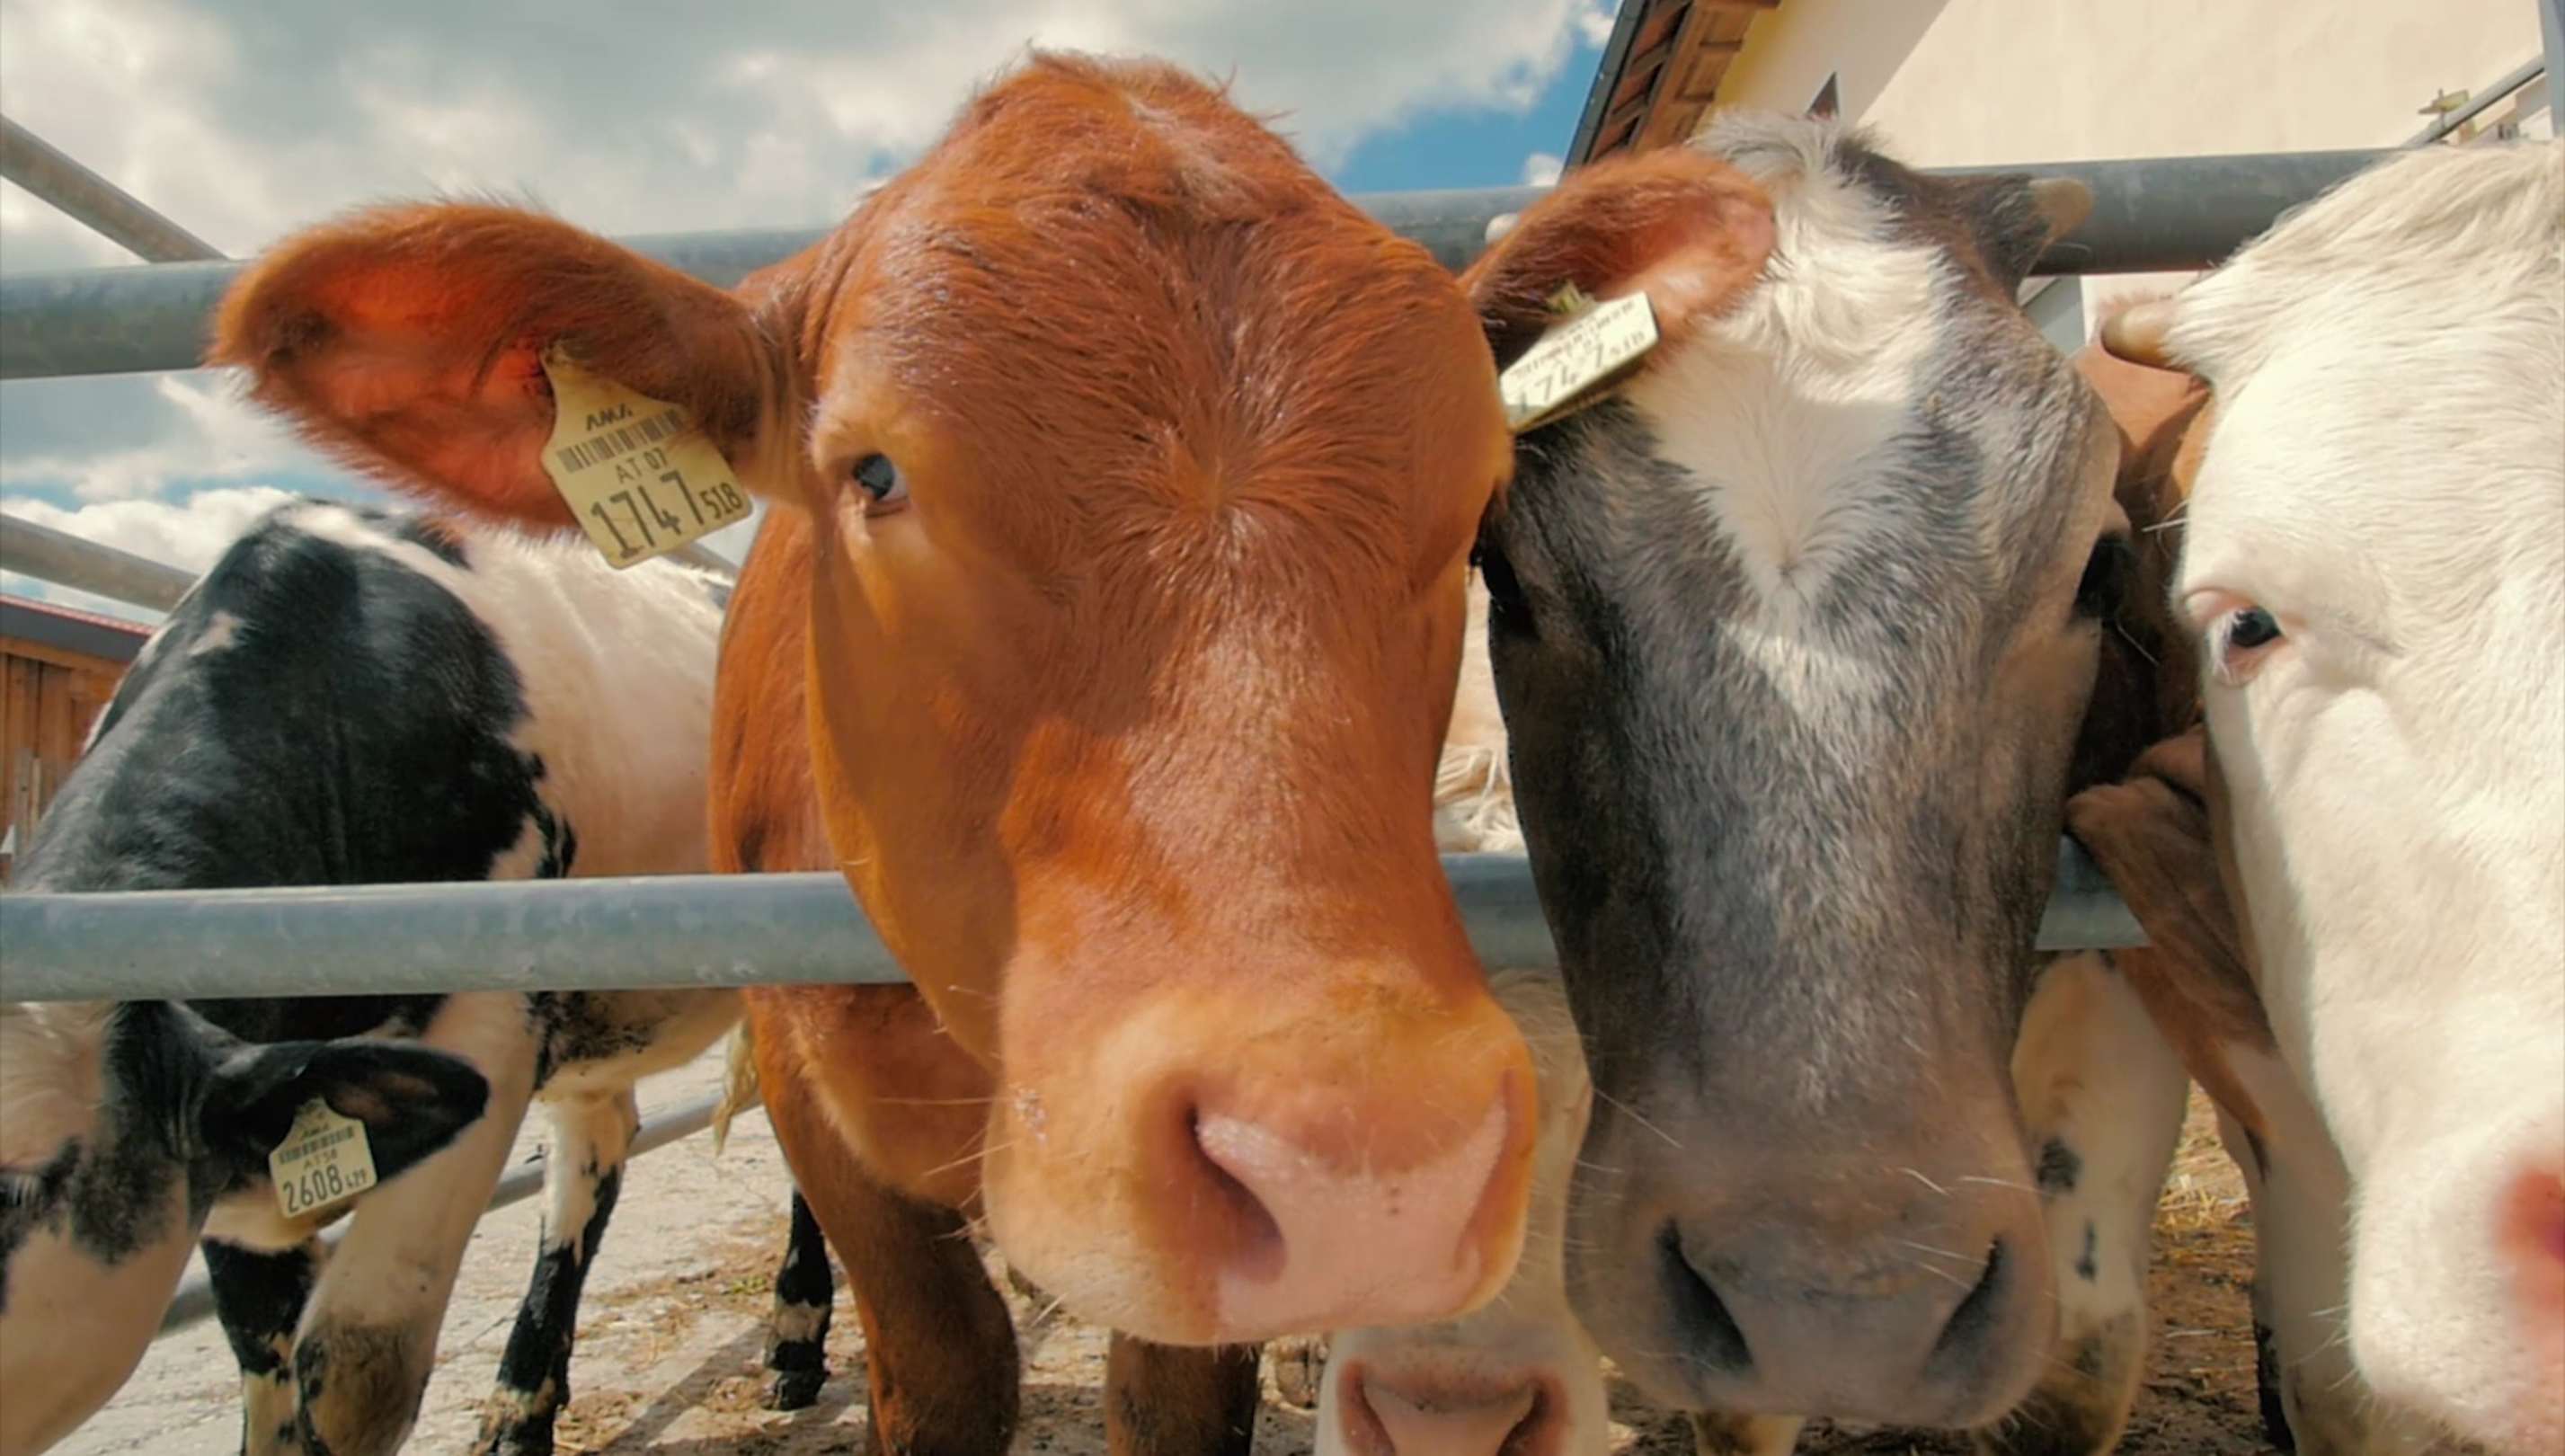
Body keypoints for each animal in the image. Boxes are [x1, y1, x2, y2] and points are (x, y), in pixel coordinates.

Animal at [208, 51, 1541, 1453]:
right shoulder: (805, 1076)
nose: (1364, 1168)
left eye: (1480, 505)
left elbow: (1171, 1398)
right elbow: (945, 1360)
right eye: (875, 474)